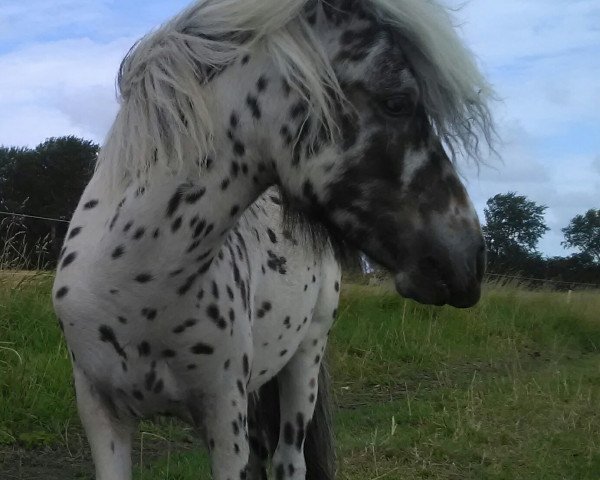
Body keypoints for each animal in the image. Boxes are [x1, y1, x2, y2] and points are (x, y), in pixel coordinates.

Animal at [51, 0, 494, 478]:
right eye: (397, 102)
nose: (470, 260)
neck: (137, 286)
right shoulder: (102, 415)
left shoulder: (224, 417)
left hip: (306, 356)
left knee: (288, 460)